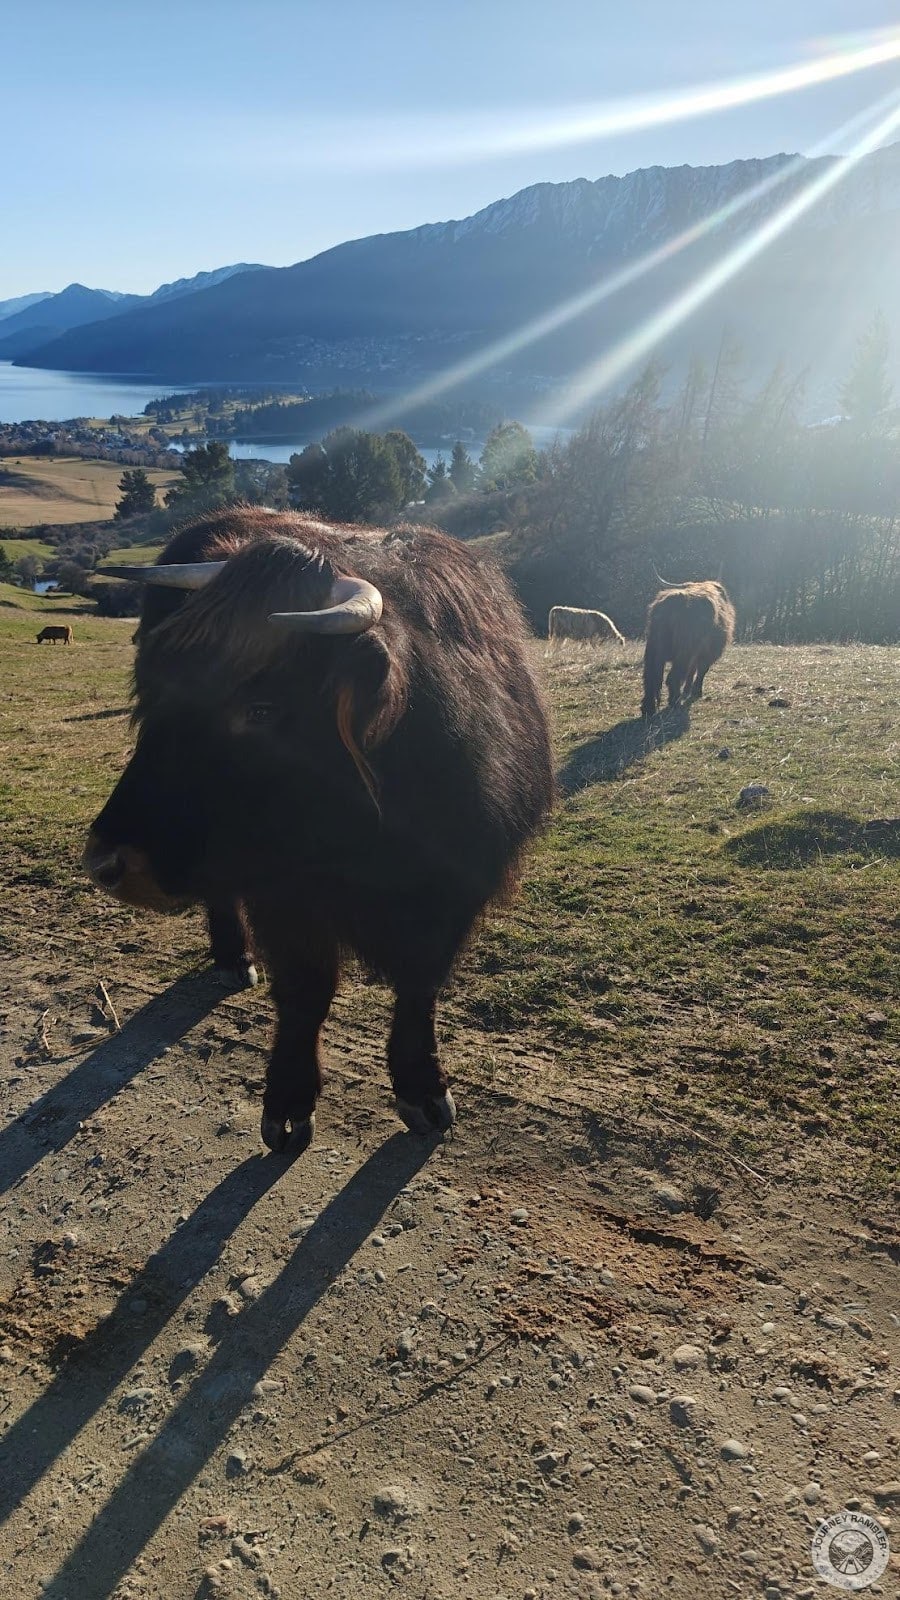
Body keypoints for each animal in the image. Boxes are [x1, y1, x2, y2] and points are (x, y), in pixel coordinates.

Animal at [86, 507, 555, 1155]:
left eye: (260, 709)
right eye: (158, 687)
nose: (106, 861)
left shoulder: (458, 888)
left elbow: (420, 987)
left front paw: (423, 1087)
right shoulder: (287, 897)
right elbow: (306, 992)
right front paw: (288, 1101)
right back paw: (233, 955)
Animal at [641, 580, 735, 719]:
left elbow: (692, 671)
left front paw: (688, 690)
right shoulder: (707, 654)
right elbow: (701, 671)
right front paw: (696, 691)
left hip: (653, 650)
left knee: (650, 678)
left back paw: (648, 708)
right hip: (684, 652)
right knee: (673, 677)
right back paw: (675, 703)